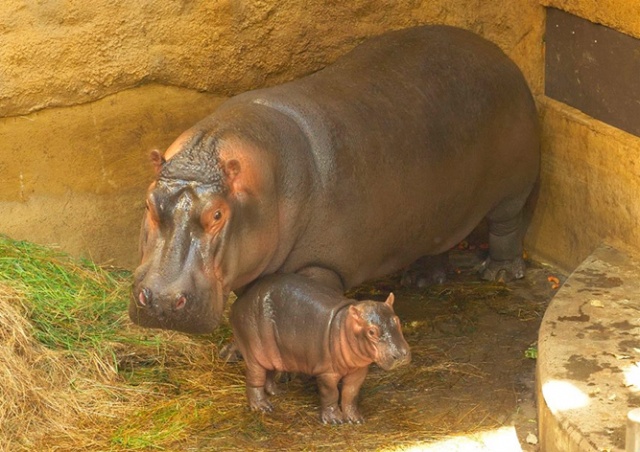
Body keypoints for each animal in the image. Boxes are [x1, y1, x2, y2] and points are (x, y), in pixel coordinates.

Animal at [130, 25, 540, 336]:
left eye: (217, 215)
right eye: (148, 204)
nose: (162, 300)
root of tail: (497, 53)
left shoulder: (322, 267)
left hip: (512, 187)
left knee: (506, 225)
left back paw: (500, 273)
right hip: (438, 205)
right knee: (436, 238)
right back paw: (421, 280)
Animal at [230, 274, 410, 426]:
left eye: (397, 320)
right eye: (371, 331)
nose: (401, 354)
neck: (344, 326)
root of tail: (239, 302)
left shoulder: (358, 371)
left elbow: (351, 394)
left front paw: (356, 419)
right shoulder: (327, 372)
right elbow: (331, 394)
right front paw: (335, 420)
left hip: (274, 352)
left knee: (270, 372)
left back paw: (277, 392)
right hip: (254, 351)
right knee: (255, 378)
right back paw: (262, 407)